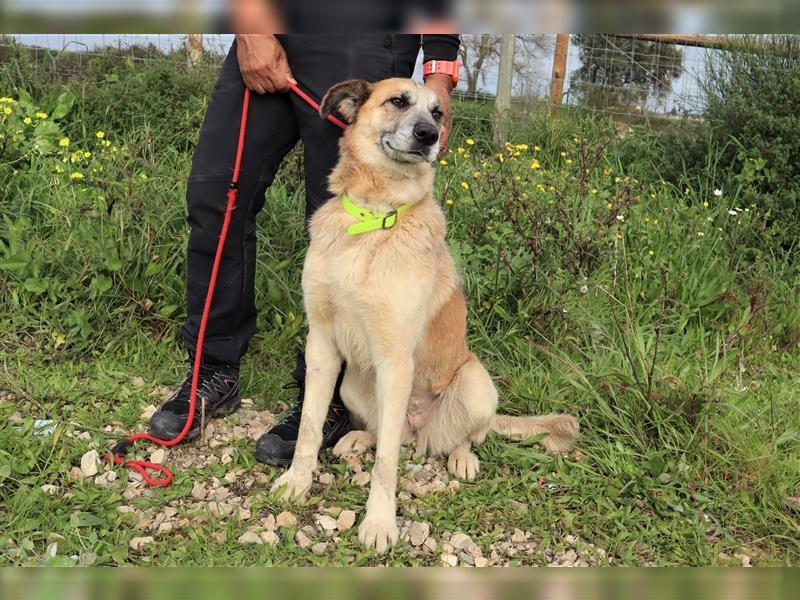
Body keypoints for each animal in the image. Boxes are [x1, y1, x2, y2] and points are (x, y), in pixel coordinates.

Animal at [272, 77, 580, 552]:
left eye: (437, 113)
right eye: (398, 101)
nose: (429, 136)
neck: (374, 220)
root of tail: (421, 430)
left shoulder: (396, 360)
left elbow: (386, 464)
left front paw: (380, 523)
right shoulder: (321, 346)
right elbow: (308, 427)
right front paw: (297, 481)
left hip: (474, 381)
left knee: (463, 436)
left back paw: (462, 459)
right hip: (354, 381)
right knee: (388, 432)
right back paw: (359, 438)